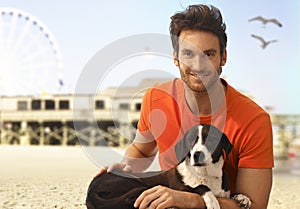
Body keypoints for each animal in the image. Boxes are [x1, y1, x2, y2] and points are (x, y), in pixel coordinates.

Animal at [86, 124, 248, 209]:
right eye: (190, 140)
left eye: (212, 139)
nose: (197, 155)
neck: (205, 174)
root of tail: (91, 190)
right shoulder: (181, 188)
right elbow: (200, 187)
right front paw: (212, 201)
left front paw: (243, 198)